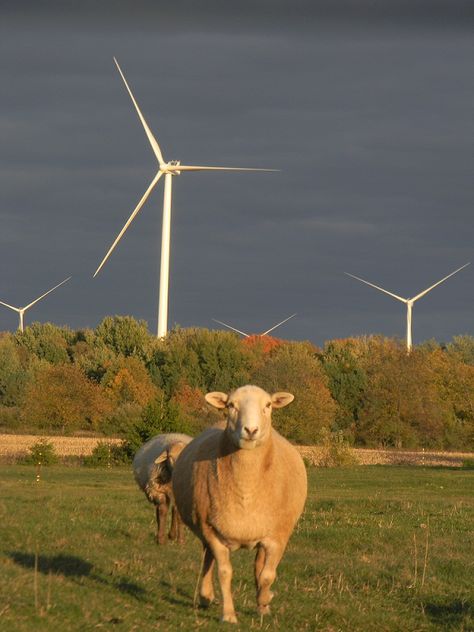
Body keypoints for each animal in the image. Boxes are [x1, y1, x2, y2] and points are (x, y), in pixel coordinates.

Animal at [172, 386, 306, 624]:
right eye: (231, 405)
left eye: (268, 405)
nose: (251, 430)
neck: (247, 489)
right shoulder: (214, 533)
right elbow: (225, 573)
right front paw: (228, 615)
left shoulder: (278, 537)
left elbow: (267, 575)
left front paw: (265, 600)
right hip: (206, 527)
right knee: (207, 558)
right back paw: (206, 596)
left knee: (258, 567)